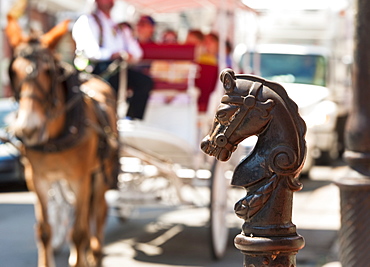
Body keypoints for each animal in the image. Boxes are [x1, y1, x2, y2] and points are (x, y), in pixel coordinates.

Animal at [5, 15, 118, 266]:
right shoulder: (37, 180)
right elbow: (44, 231)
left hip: (100, 174)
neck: (55, 137)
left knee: (98, 215)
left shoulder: (81, 179)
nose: (28, 129)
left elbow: (78, 232)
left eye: (48, 70)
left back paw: (95, 253)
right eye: (14, 72)